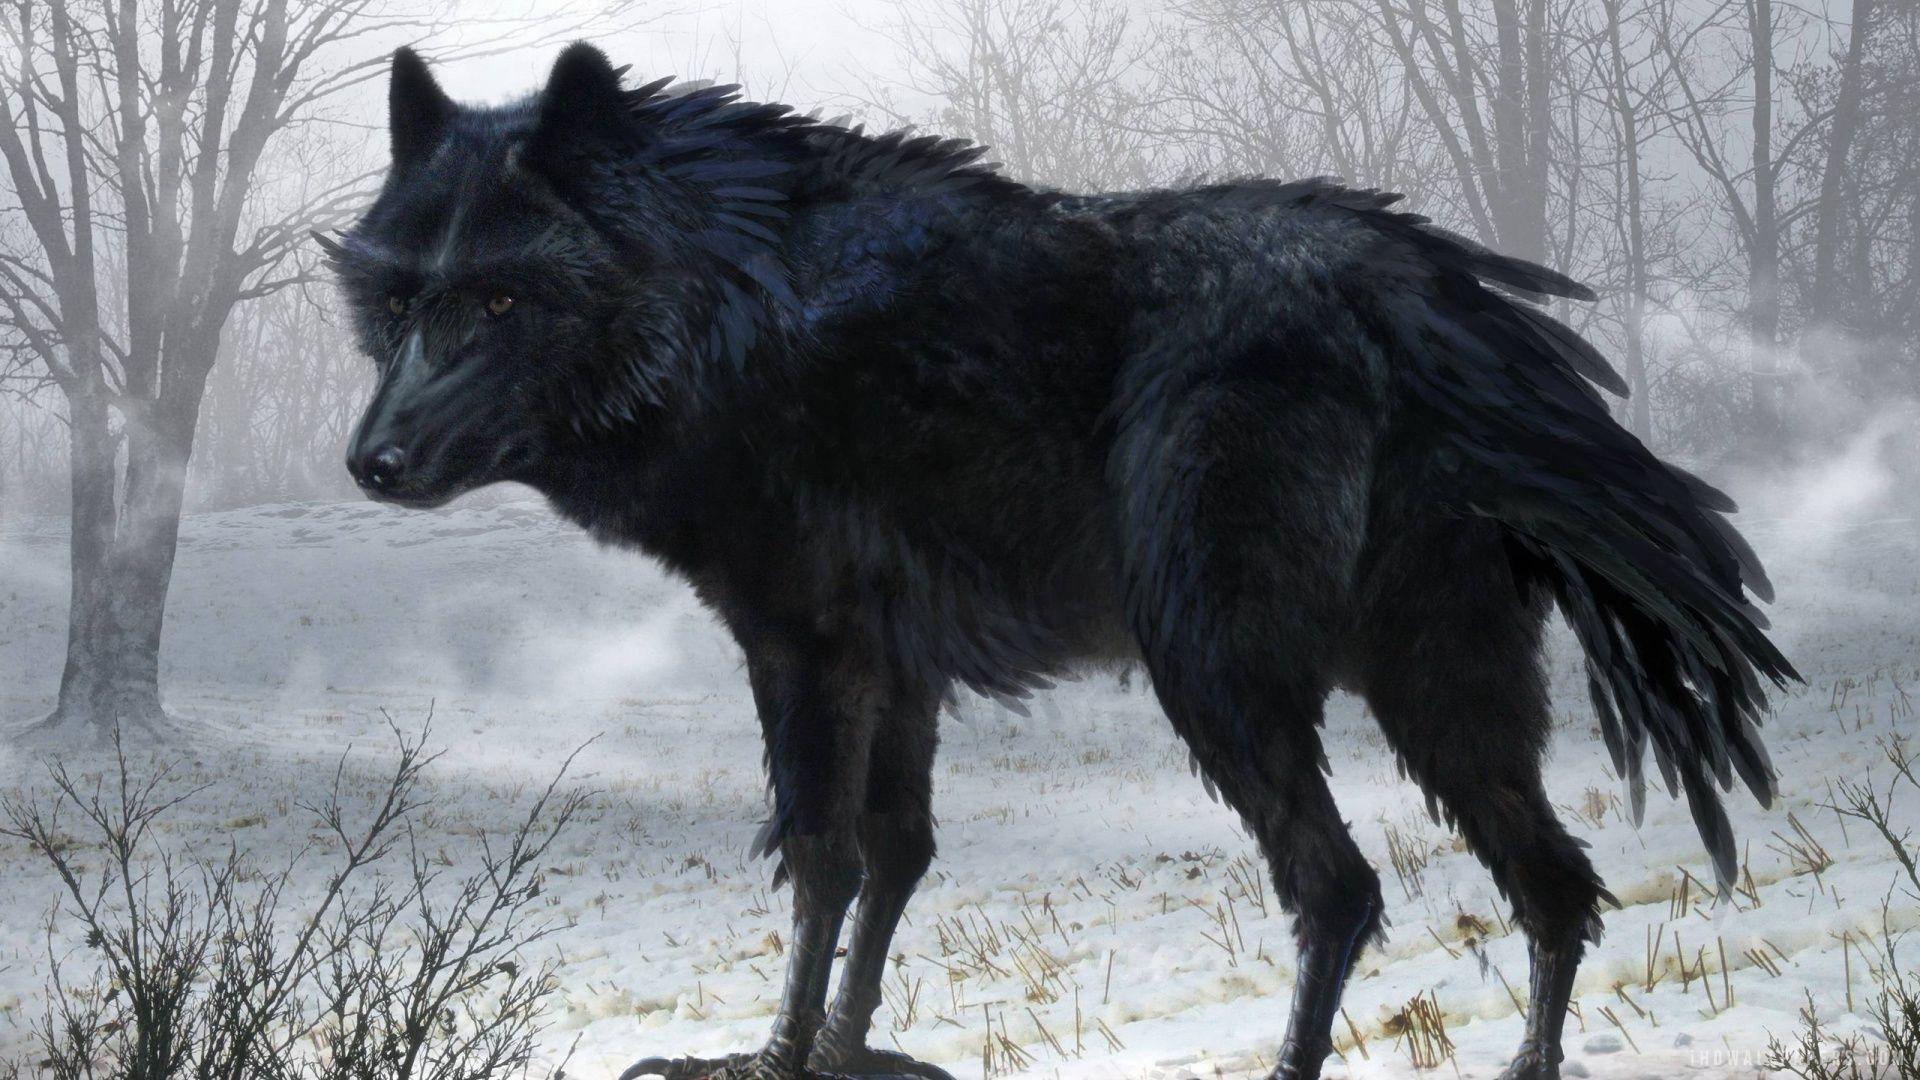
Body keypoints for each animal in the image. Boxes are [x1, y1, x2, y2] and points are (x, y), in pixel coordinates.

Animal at [322, 43, 1796, 1080]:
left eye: (502, 299)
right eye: (399, 301)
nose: (370, 463)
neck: (729, 306)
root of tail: (1423, 297)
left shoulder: (804, 647)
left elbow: (823, 859)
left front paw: (776, 1057)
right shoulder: (896, 665)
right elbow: (897, 851)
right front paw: (847, 1051)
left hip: (1220, 672)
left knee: (1343, 888)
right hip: (1445, 692)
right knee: (1554, 887)